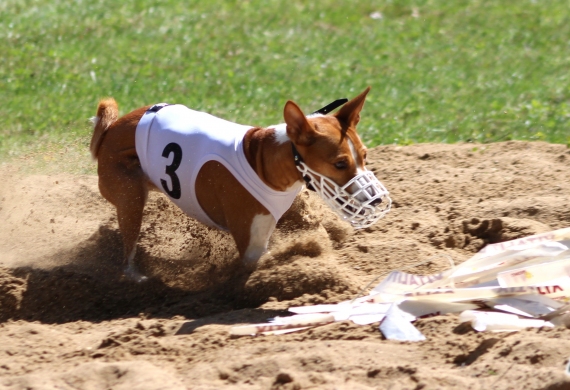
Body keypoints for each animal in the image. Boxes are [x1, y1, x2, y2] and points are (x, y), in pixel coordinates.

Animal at [90, 87, 390, 280]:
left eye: (364, 156)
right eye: (340, 163)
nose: (377, 200)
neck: (263, 162)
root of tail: (112, 129)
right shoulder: (251, 247)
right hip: (130, 200)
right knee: (127, 254)